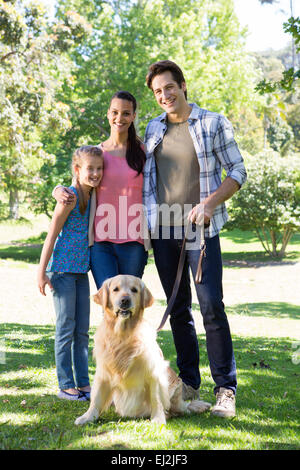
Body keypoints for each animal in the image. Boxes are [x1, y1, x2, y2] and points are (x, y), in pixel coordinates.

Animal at [75, 276, 211, 426]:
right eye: (115, 289)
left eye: (134, 290)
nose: (125, 300)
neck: (123, 335)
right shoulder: (103, 373)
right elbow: (96, 399)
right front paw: (87, 417)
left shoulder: (154, 373)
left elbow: (156, 398)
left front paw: (158, 419)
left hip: (175, 387)